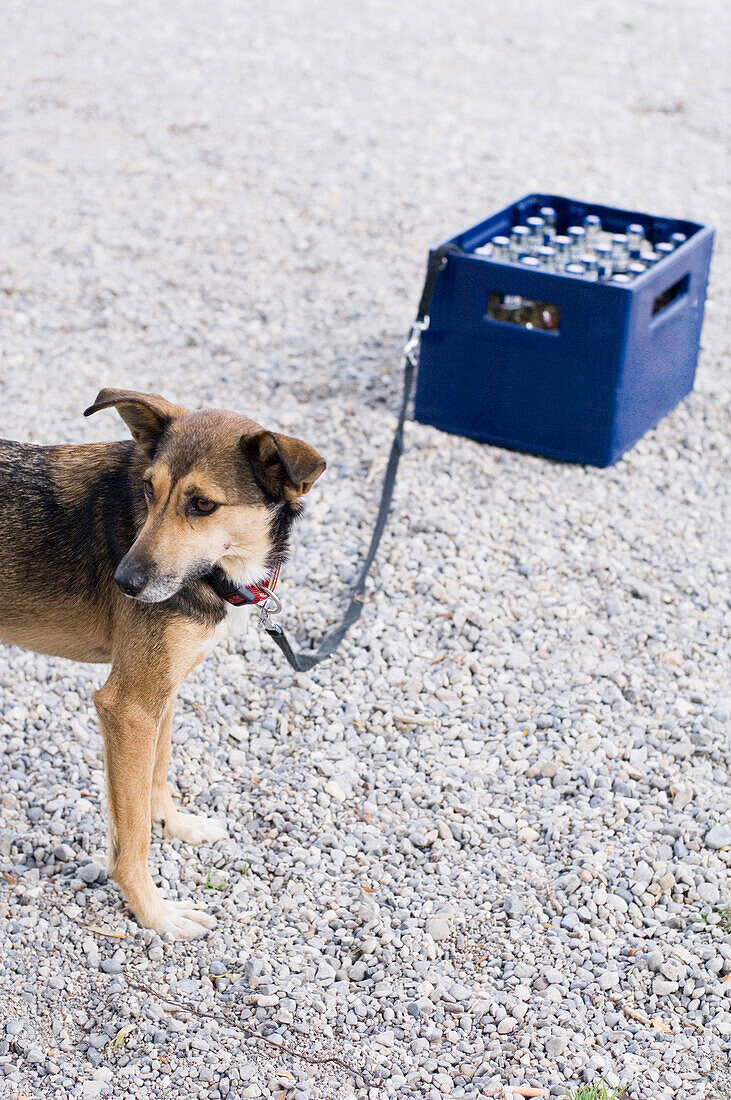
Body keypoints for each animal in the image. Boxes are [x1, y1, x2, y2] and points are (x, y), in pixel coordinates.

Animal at [0, 387, 325, 937]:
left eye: (203, 505)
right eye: (148, 491)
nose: (124, 583)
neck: (220, 571)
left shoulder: (161, 691)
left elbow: (158, 770)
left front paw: (176, 825)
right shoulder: (128, 706)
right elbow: (131, 833)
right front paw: (155, 913)